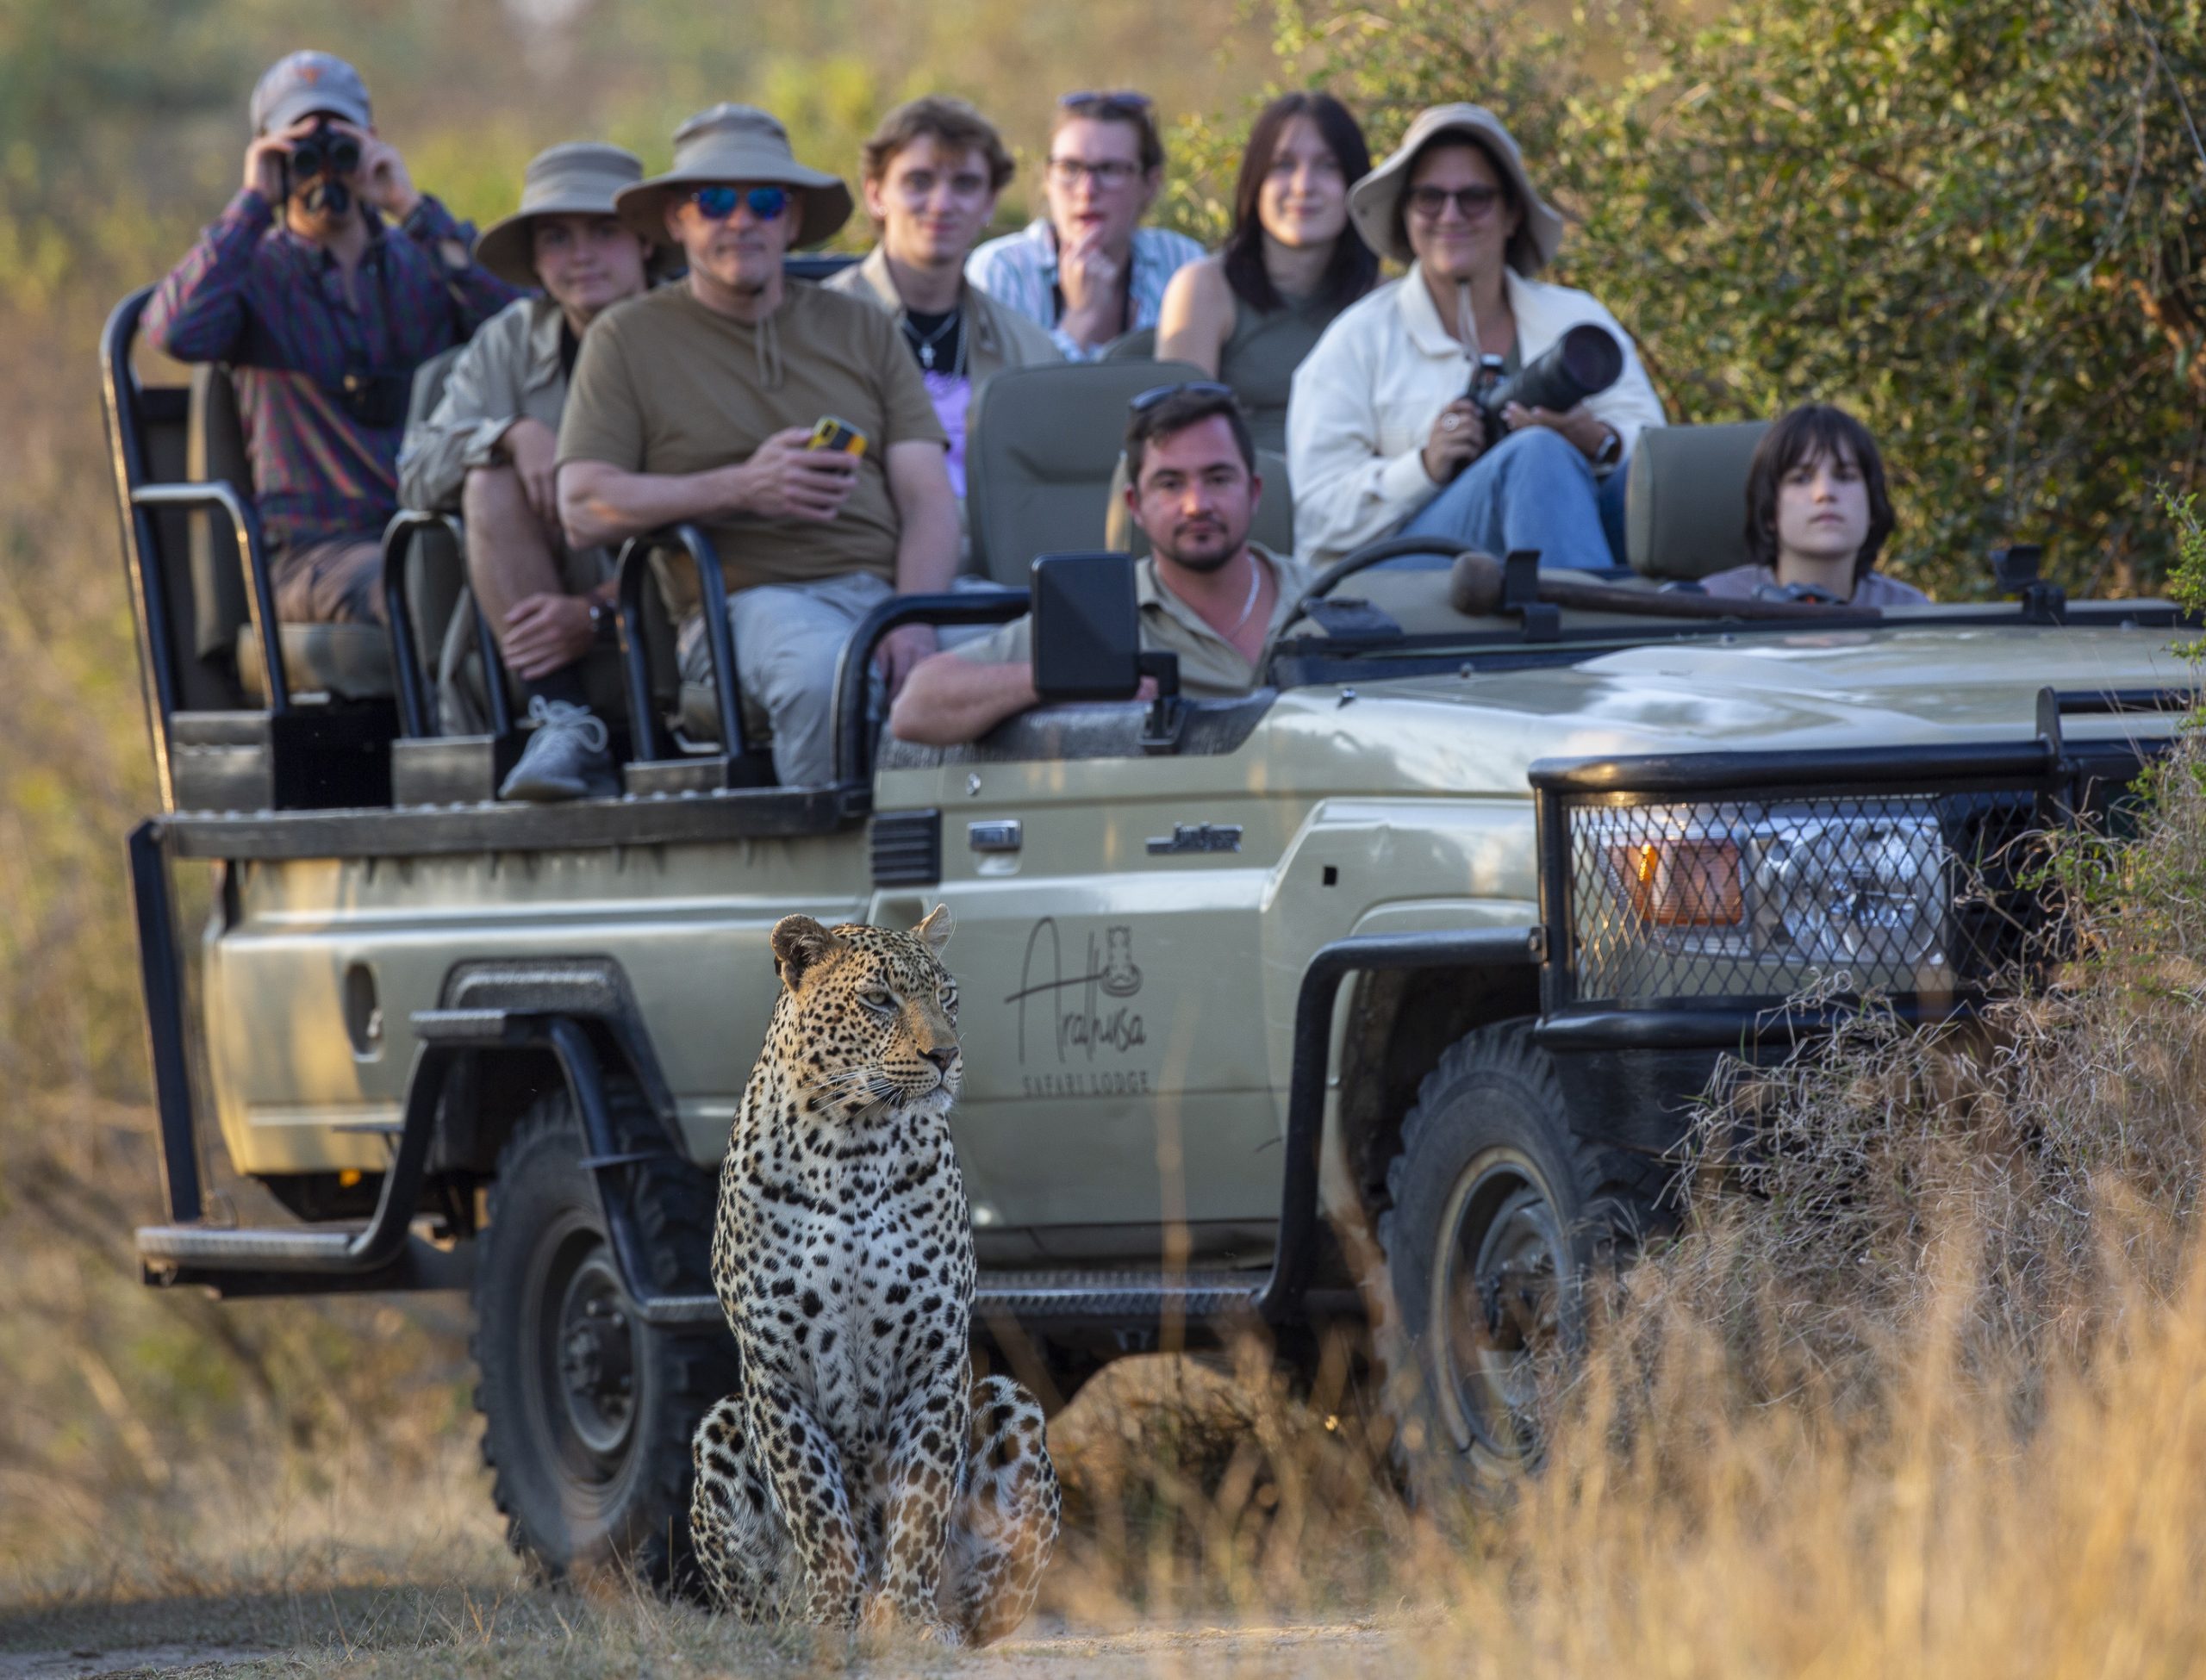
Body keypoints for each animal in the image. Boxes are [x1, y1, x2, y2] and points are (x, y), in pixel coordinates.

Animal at [692, 904, 1062, 1640]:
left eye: (947, 997)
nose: (945, 1056)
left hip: (1011, 1404)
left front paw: (910, 1619)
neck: (850, 1149)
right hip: (722, 1423)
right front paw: (833, 1617)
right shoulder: (775, 1366)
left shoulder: (936, 1354)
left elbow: (921, 1499)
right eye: (879, 999)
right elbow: (814, 1501)